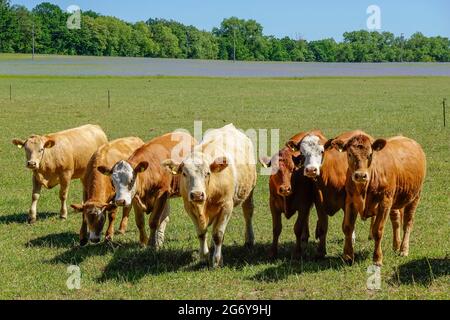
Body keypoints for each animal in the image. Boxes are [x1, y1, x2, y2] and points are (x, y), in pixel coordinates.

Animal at [162, 124, 255, 268]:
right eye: (184, 173)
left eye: (207, 173)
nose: (197, 194)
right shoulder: (189, 207)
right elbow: (201, 232)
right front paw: (204, 255)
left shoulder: (226, 206)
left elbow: (218, 234)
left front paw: (216, 260)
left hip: (249, 191)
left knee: (248, 213)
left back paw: (249, 239)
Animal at [330, 132, 426, 264]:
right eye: (349, 154)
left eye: (370, 155)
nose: (360, 175)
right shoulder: (350, 201)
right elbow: (347, 227)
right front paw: (348, 256)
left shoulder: (384, 203)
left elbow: (378, 230)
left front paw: (377, 258)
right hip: (395, 200)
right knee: (396, 220)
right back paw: (396, 245)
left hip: (415, 196)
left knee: (408, 222)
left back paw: (403, 249)